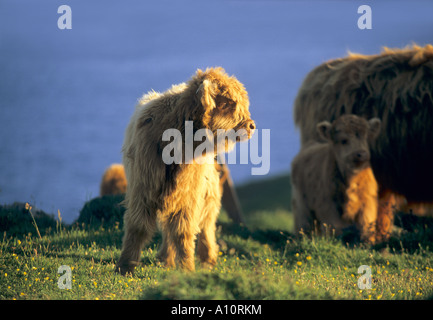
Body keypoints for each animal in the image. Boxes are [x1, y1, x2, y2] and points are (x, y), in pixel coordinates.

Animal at [116, 67, 255, 276]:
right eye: (227, 103)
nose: (251, 126)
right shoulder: (142, 190)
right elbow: (137, 227)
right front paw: (125, 267)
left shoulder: (189, 195)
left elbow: (184, 231)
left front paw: (187, 268)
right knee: (169, 226)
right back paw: (165, 259)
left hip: (208, 190)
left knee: (206, 223)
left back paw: (207, 259)